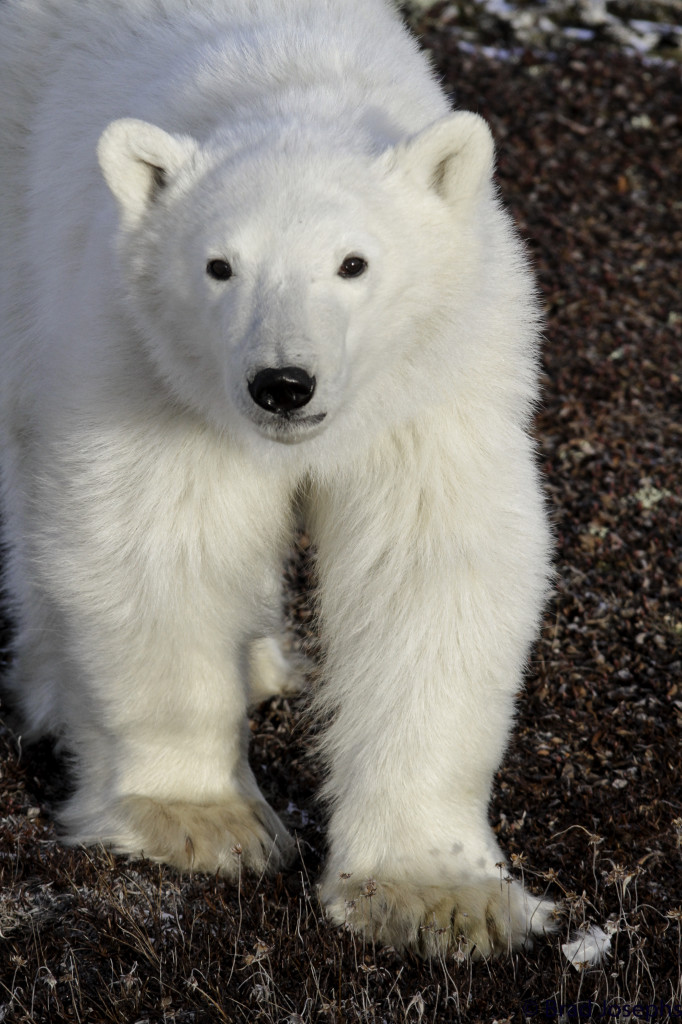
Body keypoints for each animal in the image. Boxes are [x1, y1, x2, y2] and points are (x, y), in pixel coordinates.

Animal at [0, 0, 555, 957]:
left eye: (353, 263)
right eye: (220, 265)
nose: (283, 385)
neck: (290, 77)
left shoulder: (435, 376)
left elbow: (428, 568)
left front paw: (435, 896)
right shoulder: (145, 356)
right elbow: (160, 537)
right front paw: (204, 821)